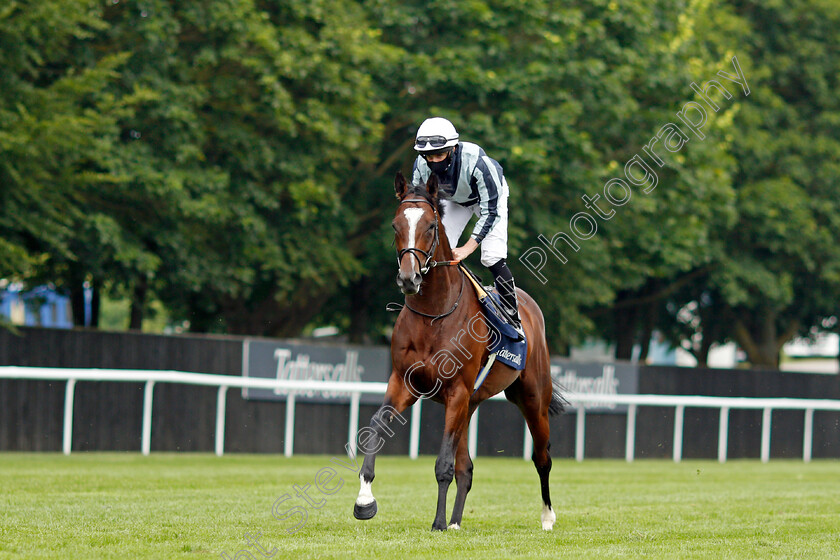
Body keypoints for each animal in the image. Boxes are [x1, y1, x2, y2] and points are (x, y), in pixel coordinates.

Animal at [352, 171, 560, 528]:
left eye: (430, 226)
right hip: (470, 404)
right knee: (468, 468)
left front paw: (436, 523)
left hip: (531, 396)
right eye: (395, 225)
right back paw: (456, 521)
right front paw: (365, 499)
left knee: (541, 456)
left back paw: (547, 516)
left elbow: (443, 464)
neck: (434, 314)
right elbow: (376, 427)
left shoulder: (457, 391)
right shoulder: (405, 383)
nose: (408, 278)